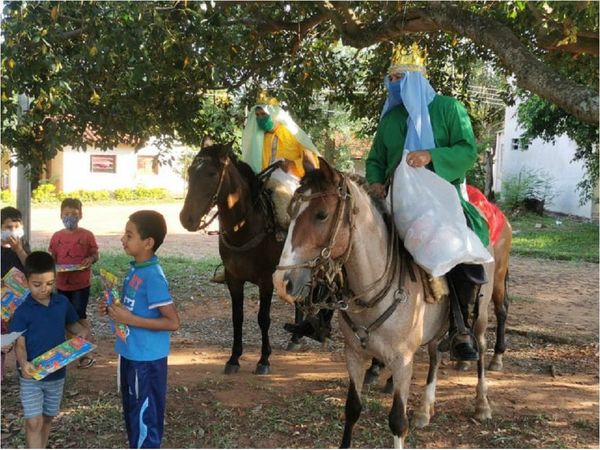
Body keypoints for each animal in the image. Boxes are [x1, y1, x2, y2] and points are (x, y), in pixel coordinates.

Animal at [178, 143, 284, 372]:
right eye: (190, 171)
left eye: (211, 173)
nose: (186, 218)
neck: (244, 227)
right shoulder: (234, 279)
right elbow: (237, 317)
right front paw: (234, 358)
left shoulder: (266, 280)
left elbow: (263, 318)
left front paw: (264, 359)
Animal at [274, 158, 508, 446]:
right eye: (292, 211)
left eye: (322, 215)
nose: (281, 281)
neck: (371, 293)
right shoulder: (353, 355)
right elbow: (352, 408)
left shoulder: (402, 361)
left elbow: (397, 422)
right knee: (435, 354)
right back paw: (425, 409)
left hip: (483, 311)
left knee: (481, 345)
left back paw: (482, 403)